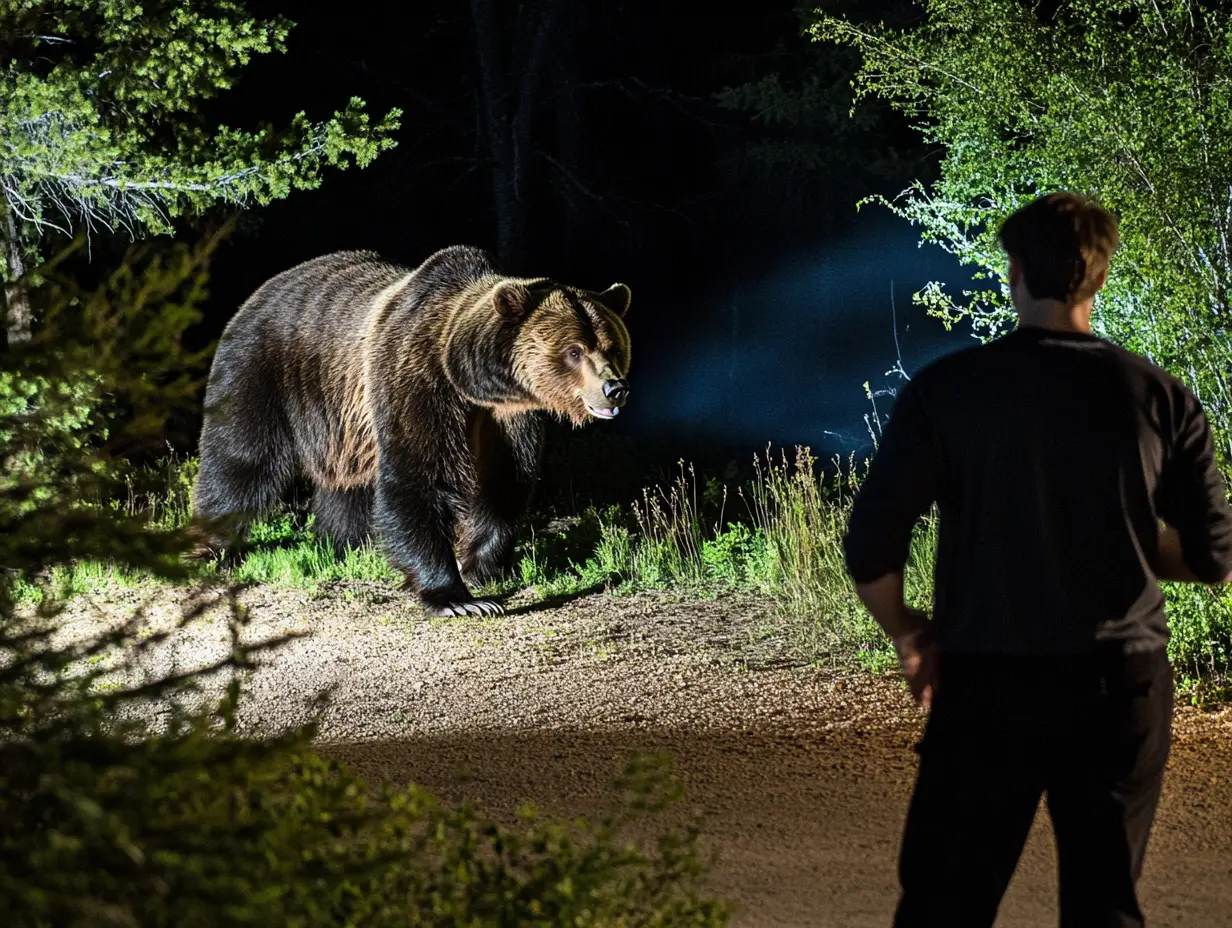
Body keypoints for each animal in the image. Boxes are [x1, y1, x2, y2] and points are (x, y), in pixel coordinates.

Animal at [190, 245, 631, 617]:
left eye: (613, 346)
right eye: (574, 350)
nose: (615, 388)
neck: (472, 381)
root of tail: (258, 293)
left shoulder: (507, 417)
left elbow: (504, 483)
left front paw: (480, 568)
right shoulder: (416, 378)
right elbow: (419, 476)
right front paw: (457, 599)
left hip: (342, 423)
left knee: (345, 485)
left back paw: (343, 545)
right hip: (262, 371)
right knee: (239, 459)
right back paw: (212, 544)